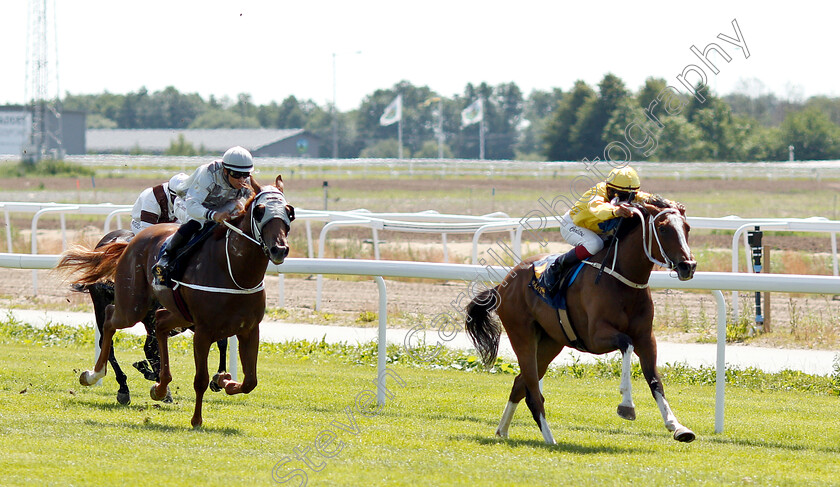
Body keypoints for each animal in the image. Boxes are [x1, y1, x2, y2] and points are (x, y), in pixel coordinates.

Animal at [59, 175, 296, 428]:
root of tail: (125, 244)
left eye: (289, 212)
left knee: (158, 324)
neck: (235, 272)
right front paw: (197, 418)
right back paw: (99, 377)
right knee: (110, 326)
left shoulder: (248, 328)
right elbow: (199, 378)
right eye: (259, 211)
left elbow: (249, 380)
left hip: (173, 314)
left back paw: (159, 387)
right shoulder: (203, 330)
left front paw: (224, 380)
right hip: (131, 306)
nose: (279, 249)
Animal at [466, 198, 696, 446]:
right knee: (533, 392)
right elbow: (626, 344)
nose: (688, 266)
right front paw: (627, 405)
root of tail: (502, 284)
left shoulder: (646, 338)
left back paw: (503, 431)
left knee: (520, 383)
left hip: (550, 342)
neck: (623, 280)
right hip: (522, 336)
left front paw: (677, 427)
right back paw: (550, 439)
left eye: (687, 228)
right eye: (663, 228)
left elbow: (654, 380)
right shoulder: (595, 337)